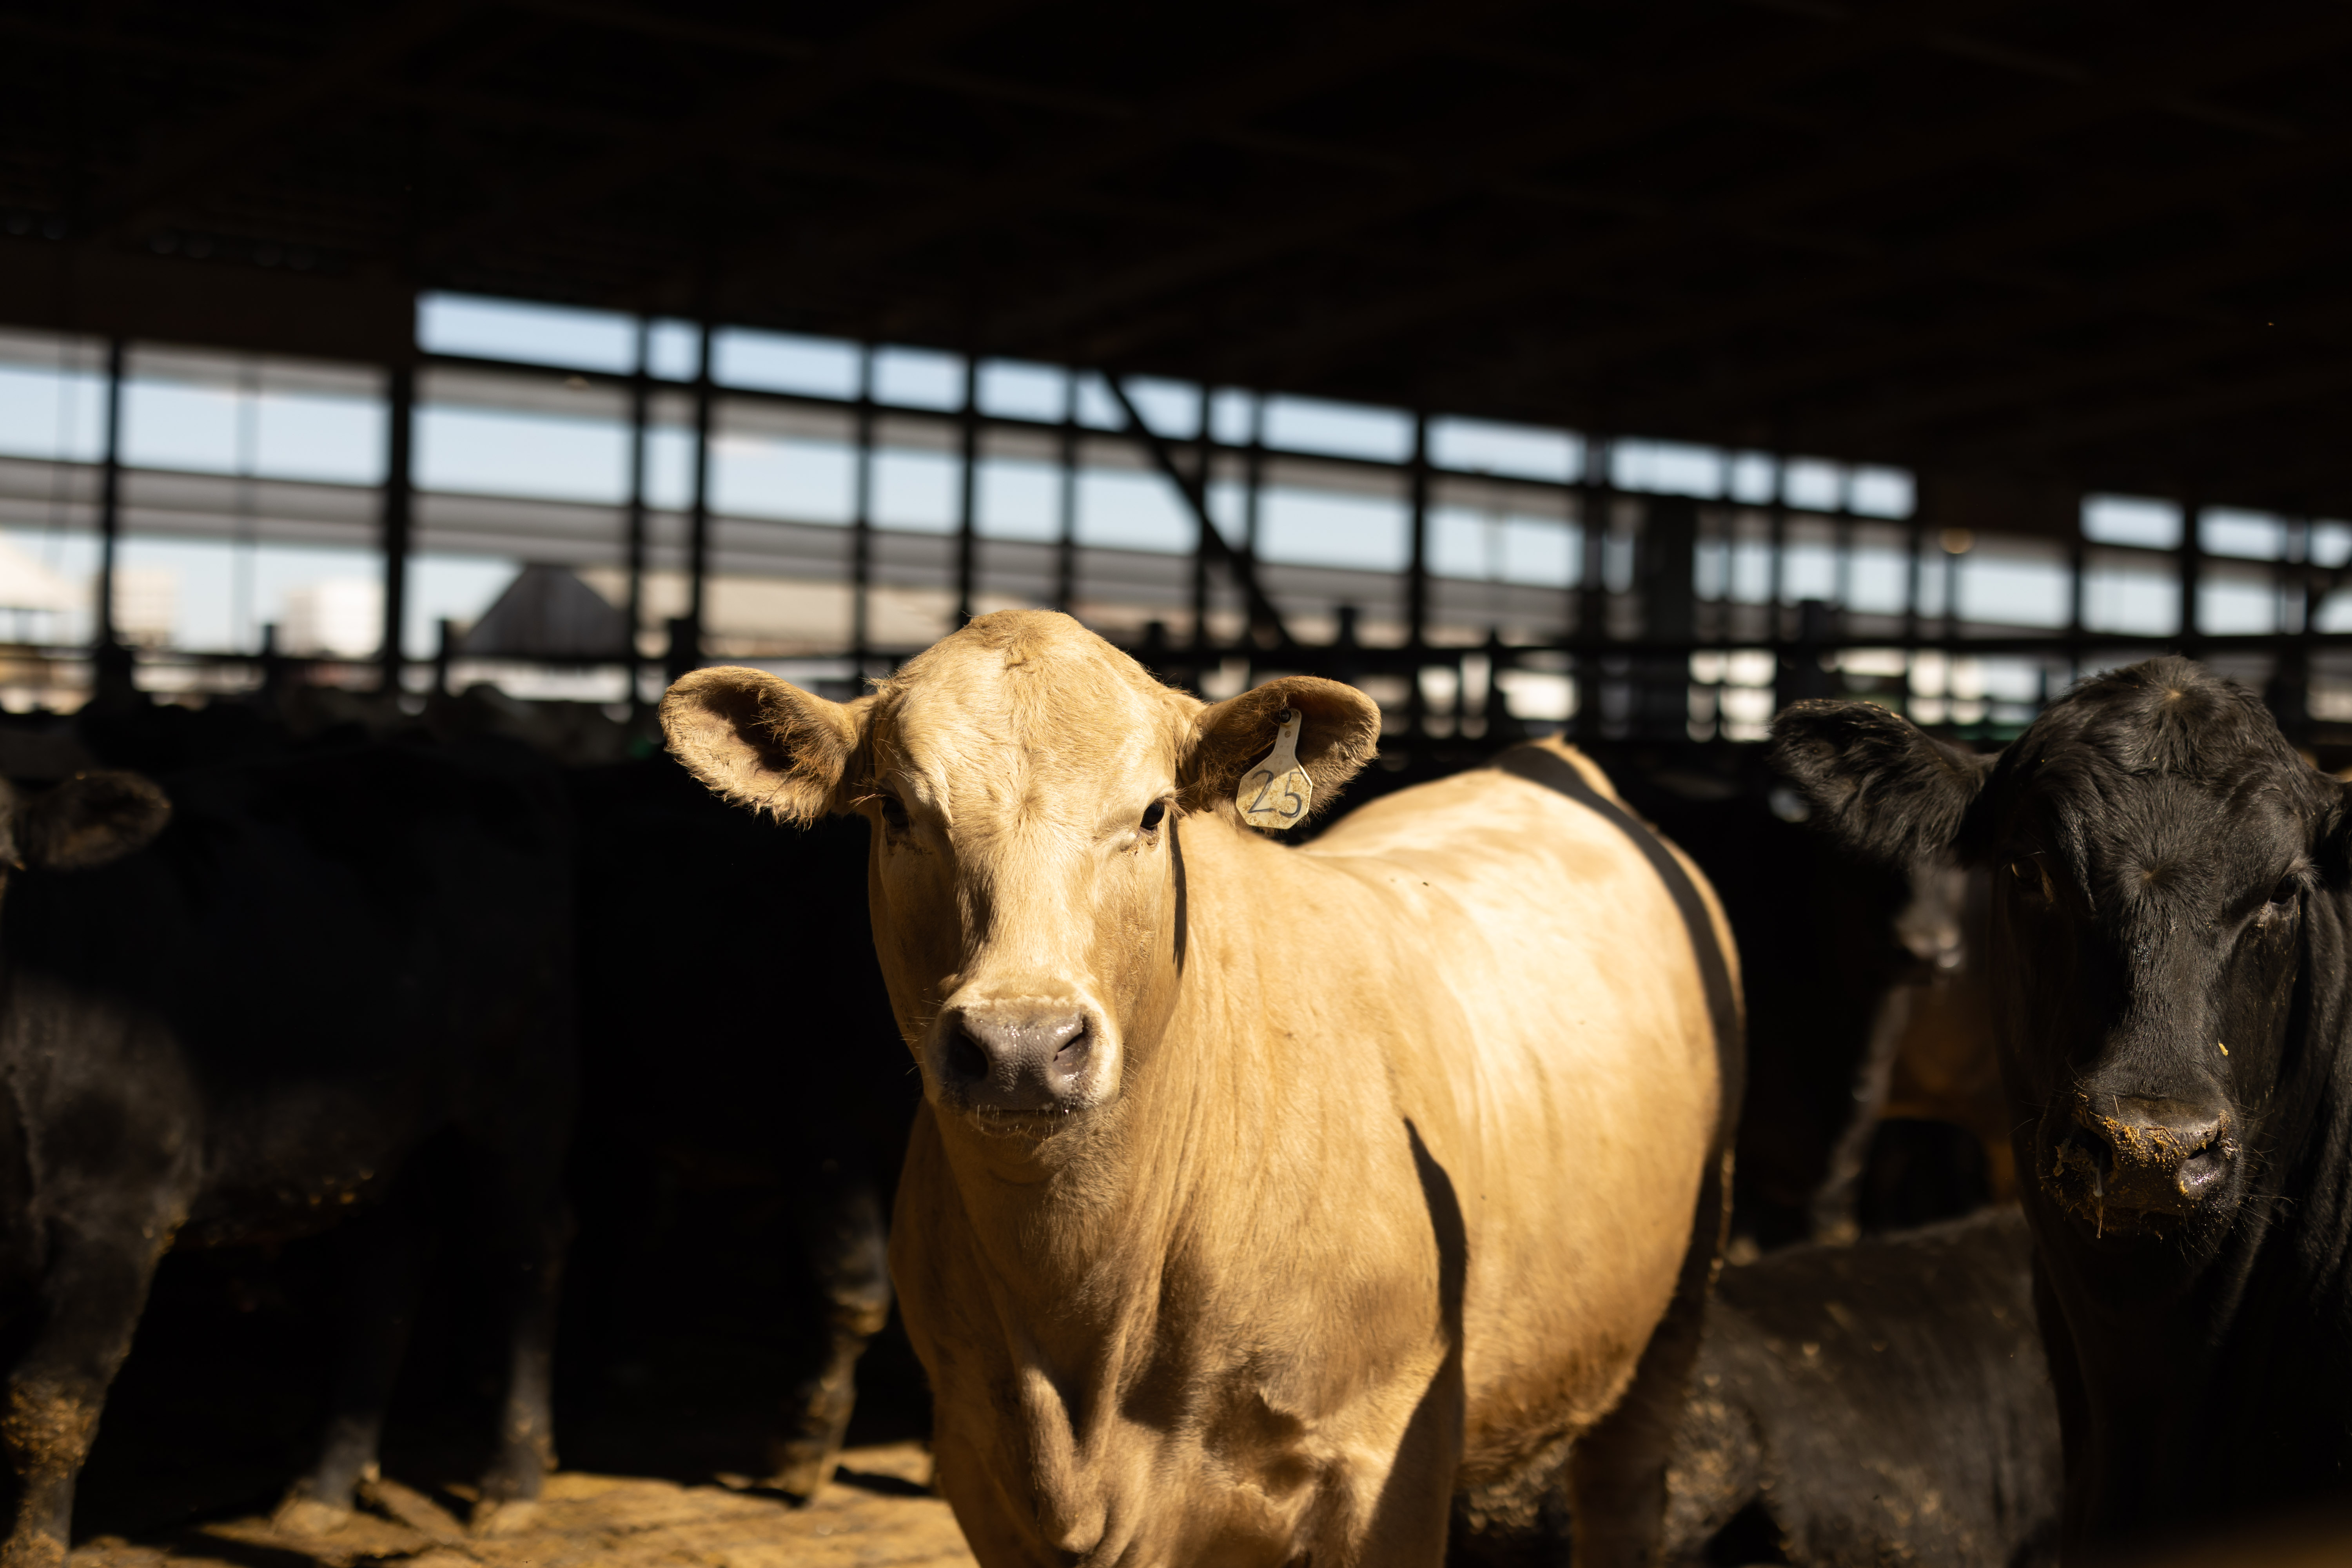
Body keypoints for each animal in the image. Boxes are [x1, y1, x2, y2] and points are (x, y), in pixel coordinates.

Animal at [0, 740, 575, 1567]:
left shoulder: (119, 1215)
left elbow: (51, 1404)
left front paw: (35, 1550)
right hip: (381, 1129)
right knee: (392, 1263)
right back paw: (325, 1488)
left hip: (520, 1096)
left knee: (526, 1257)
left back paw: (512, 1486)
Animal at [658, 609, 1740, 1566]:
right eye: (894, 809)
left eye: (1150, 813)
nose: (1020, 1043)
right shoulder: (978, 1464)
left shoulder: (1387, 1468)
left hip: (1674, 1313)